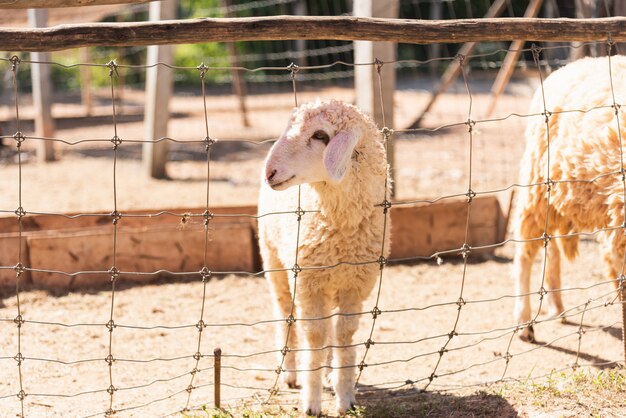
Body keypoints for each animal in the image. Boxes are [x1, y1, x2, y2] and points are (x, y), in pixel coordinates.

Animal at [256, 98, 388, 414]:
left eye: (320, 135)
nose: (269, 173)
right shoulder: (307, 282)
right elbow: (314, 336)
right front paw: (311, 402)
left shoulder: (356, 284)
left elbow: (343, 335)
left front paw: (344, 397)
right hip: (274, 261)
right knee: (285, 315)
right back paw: (291, 373)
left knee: (330, 327)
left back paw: (328, 374)